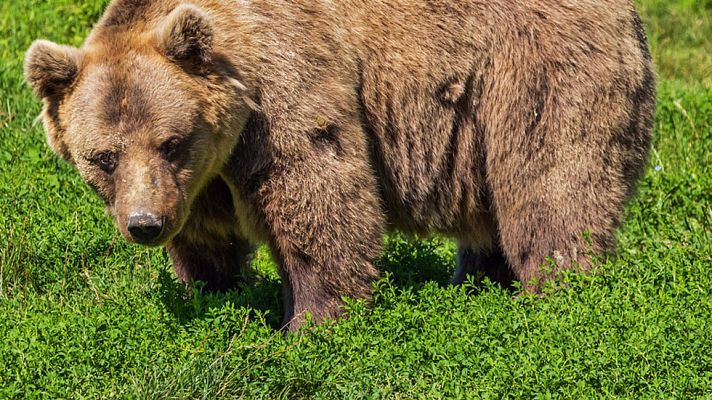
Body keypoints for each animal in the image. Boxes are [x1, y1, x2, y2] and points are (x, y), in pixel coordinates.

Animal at [24, 0, 655, 330]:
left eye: (171, 141)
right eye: (103, 157)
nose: (145, 224)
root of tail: (628, 13)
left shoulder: (285, 89)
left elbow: (318, 195)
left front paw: (311, 321)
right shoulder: (200, 180)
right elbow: (207, 238)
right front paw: (211, 293)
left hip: (535, 72)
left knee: (551, 187)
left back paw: (557, 295)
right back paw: (475, 283)